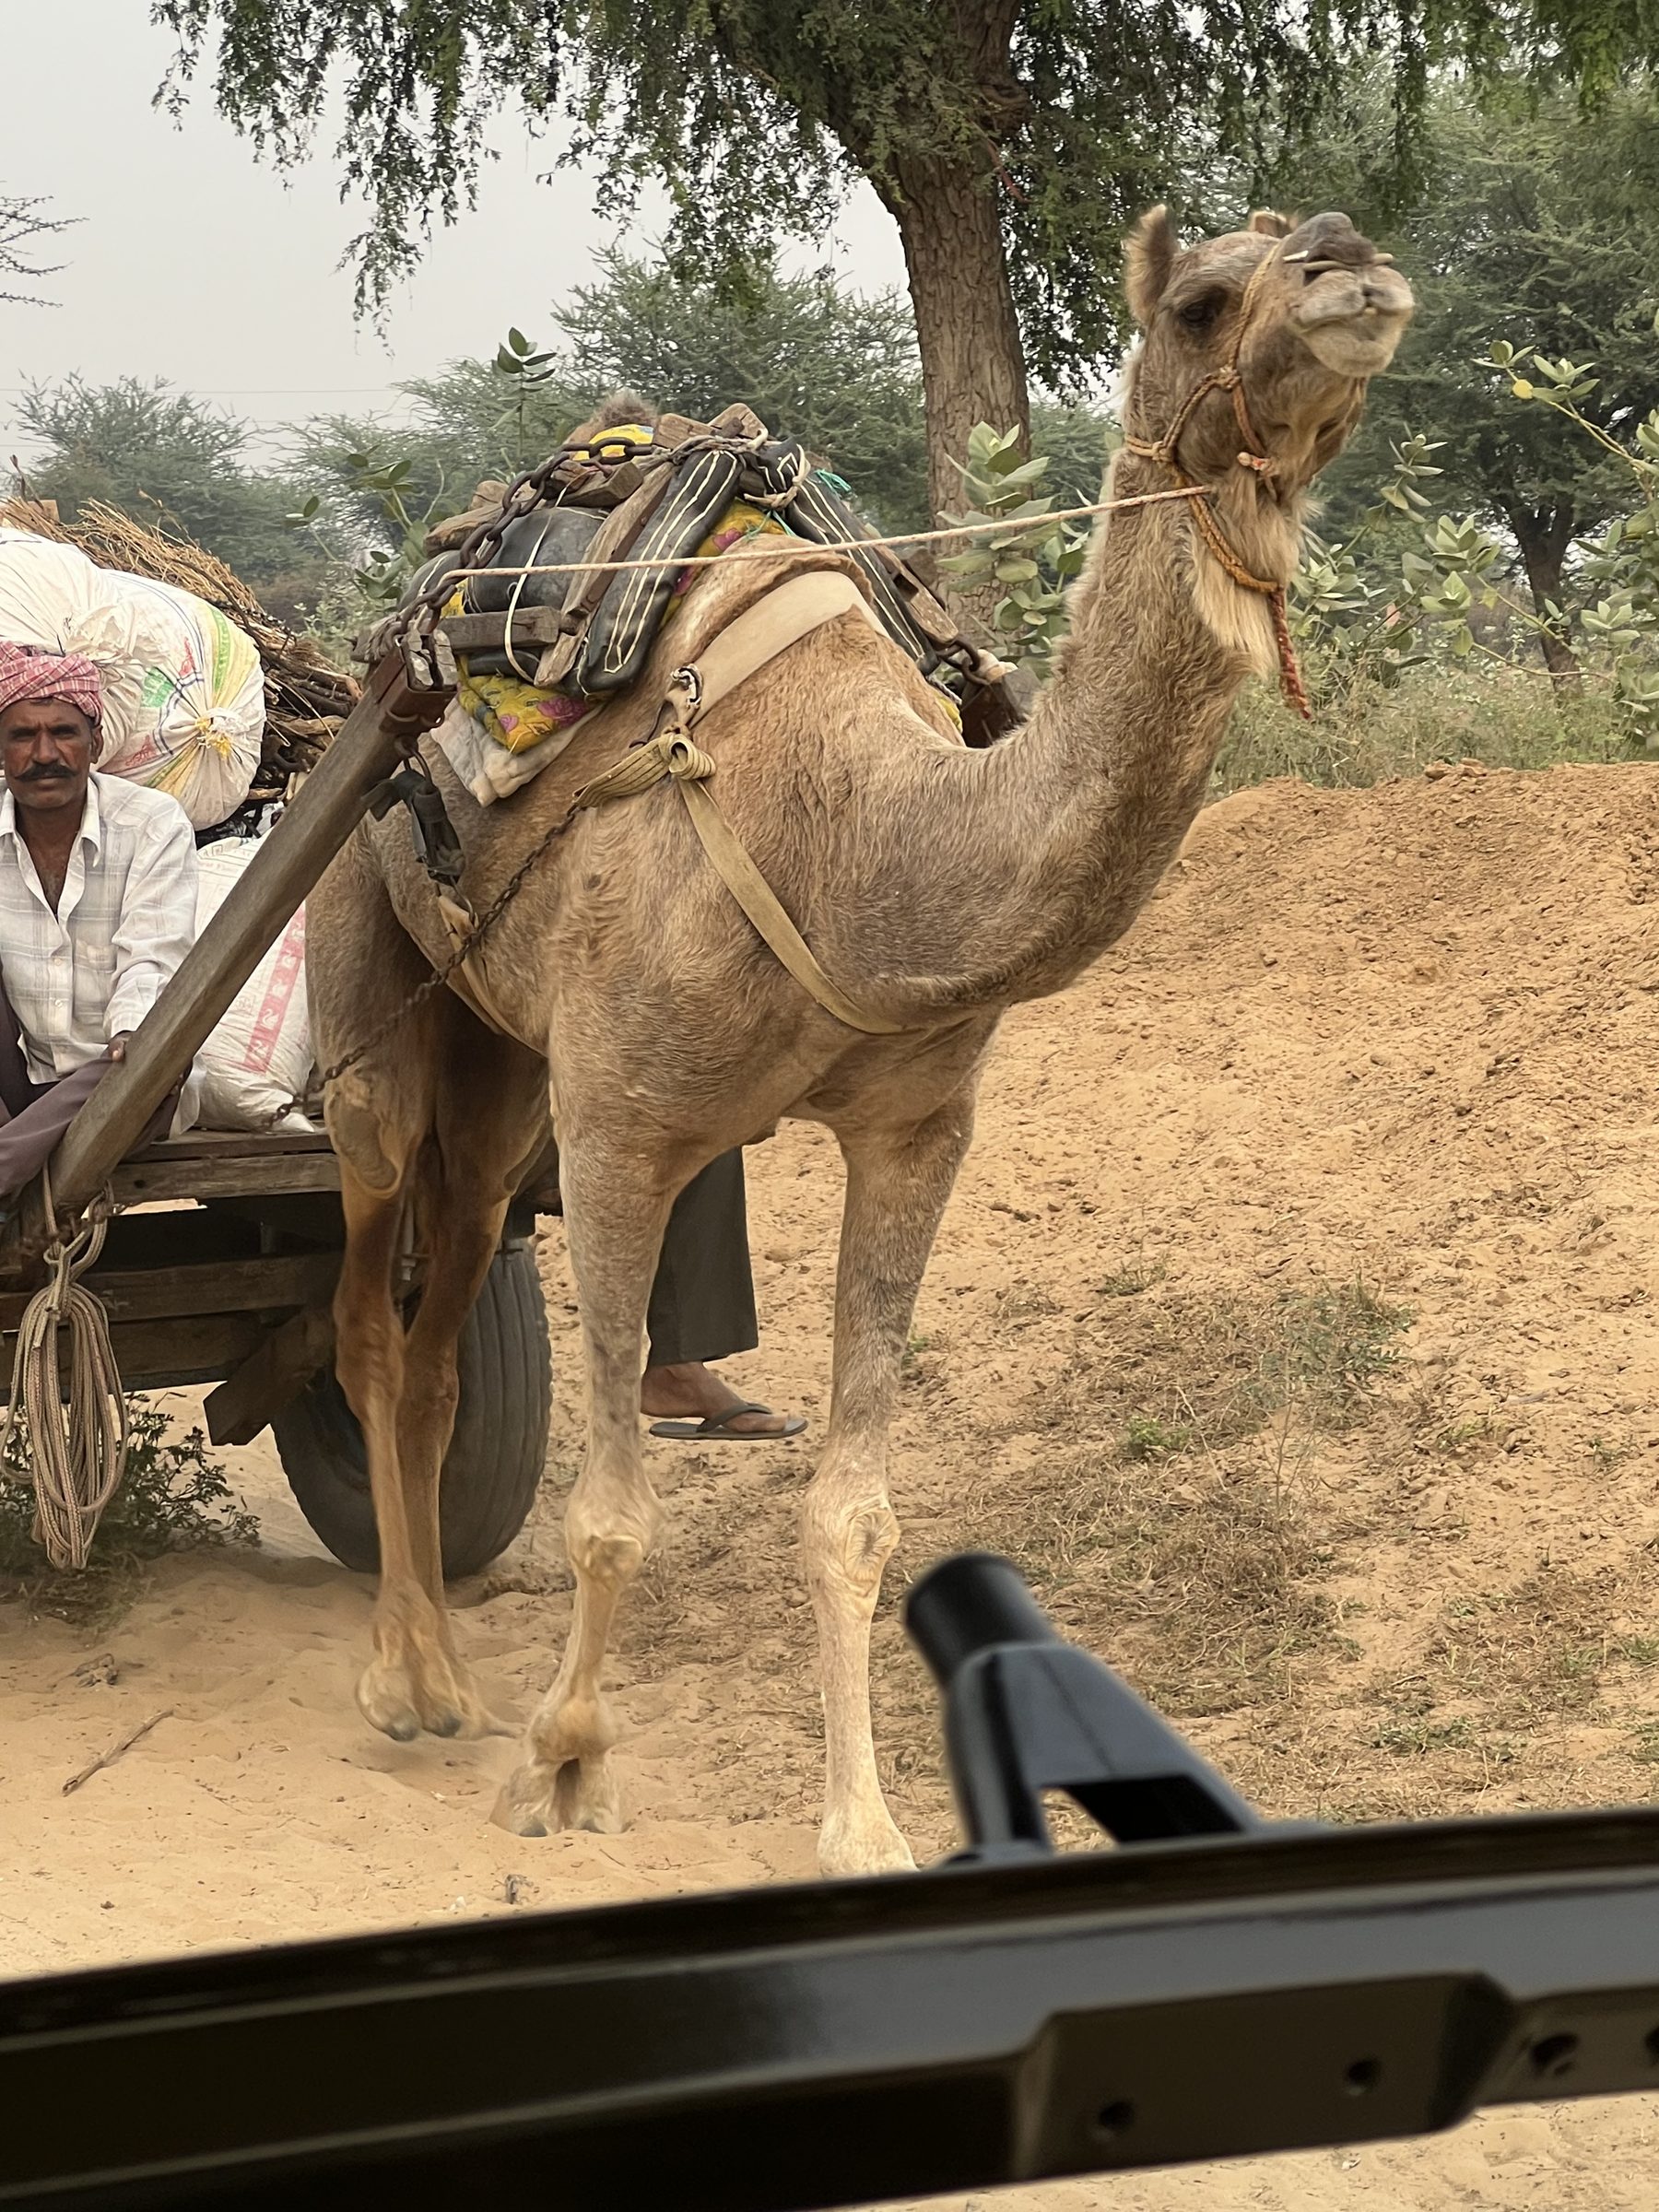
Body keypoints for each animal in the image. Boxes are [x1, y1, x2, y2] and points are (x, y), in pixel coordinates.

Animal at [307, 201, 1413, 1877]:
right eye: (1206, 297)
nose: (1356, 265)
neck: (859, 841)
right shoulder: (624, 1124)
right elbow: (613, 1506)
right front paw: (565, 1763)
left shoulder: (915, 1131)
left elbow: (855, 1508)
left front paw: (865, 1826)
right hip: (364, 983)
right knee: (370, 1308)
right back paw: (405, 1679)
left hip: (497, 1075)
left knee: (443, 1316)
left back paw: (438, 1659)